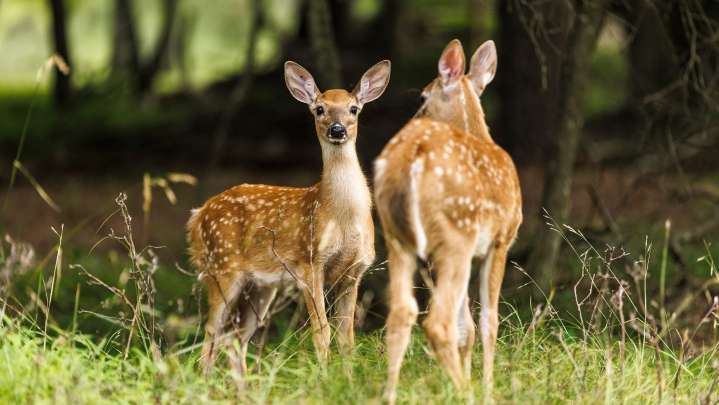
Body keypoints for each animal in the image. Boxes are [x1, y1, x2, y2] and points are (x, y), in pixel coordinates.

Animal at [188, 59, 391, 376]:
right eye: (319, 108)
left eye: (353, 108)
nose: (337, 129)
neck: (342, 218)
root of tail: (198, 216)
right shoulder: (309, 263)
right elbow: (322, 331)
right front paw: (325, 378)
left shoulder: (354, 271)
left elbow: (347, 337)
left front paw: (347, 378)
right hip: (221, 268)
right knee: (209, 338)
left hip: (260, 286)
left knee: (234, 340)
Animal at [373, 39, 522, 403]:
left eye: (422, 97)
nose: (414, 116)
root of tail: (413, 158)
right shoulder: (501, 241)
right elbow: (488, 322)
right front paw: (486, 389)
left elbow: (466, 327)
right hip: (457, 234)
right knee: (437, 323)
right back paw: (464, 394)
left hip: (397, 237)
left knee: (402, 314)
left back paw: (392, 394)